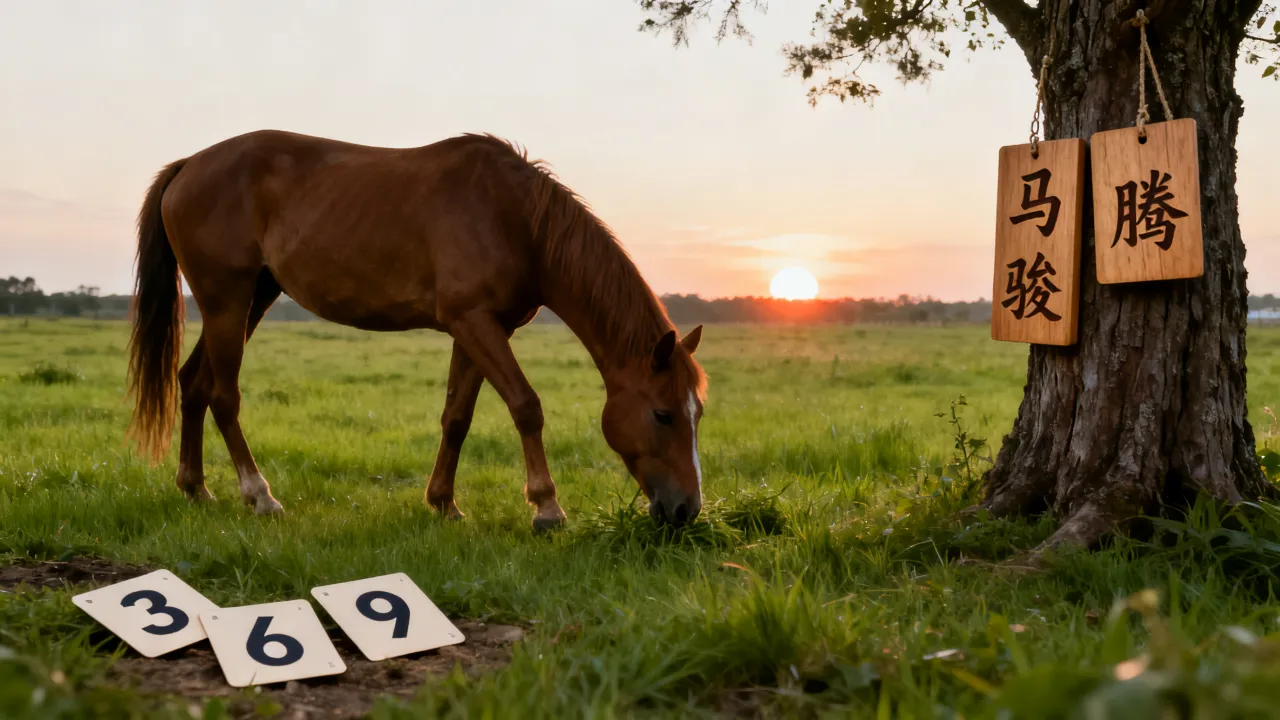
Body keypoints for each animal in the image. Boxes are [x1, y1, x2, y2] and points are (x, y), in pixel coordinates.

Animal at [126, 130, 707, 529]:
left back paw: (196, 489)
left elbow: (457, 417)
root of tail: (188, 166)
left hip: (250, 301)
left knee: (193, 383)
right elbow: (526, 406)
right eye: (662, 414)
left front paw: (444, 503)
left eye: (696, 413)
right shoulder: (474, 322)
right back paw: (260, 496)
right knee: (224, 396)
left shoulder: (479, 330)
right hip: (227, 301)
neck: (513, 216)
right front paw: (546, 508)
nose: (686, 510)